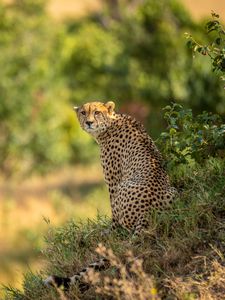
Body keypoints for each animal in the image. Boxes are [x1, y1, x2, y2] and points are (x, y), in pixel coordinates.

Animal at [44, 101, 177, 290]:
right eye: (83, 113)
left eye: (97, 113)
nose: (89, 122)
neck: (110, 123)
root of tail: (147, 212)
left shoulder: (113, 182)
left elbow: (113, 213)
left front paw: (107, 232)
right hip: (173, 192)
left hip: (123, 187)